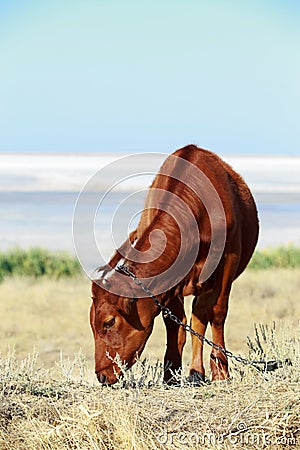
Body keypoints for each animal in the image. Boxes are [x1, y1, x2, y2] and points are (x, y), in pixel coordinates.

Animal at [90, 146, 258, 384]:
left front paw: (221, 372)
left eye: (109, 322)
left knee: (201, 315)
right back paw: (195, 371)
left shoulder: (229, 259)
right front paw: (170, 373)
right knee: (197, 317)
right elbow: (174, 322)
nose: (102, 375)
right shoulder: (170, 278)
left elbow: (218, 313)